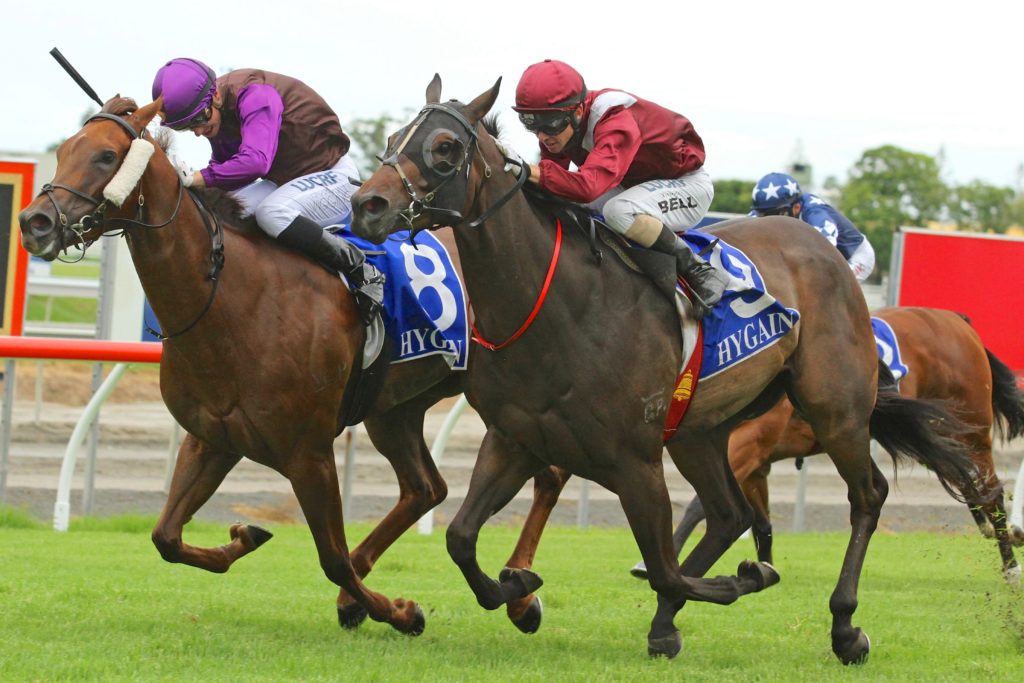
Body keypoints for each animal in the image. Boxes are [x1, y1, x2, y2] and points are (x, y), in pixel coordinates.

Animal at [15, 95, 570, 638]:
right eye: (64, 151)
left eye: (107, 156)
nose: (35, 222)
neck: (231, 299)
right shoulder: (212, 438)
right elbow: (165, 537)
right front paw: (244, 536)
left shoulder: (309, 453)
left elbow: (332, 559)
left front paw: (402, 611)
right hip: (394, 409)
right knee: (425, 488)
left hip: (512, 400)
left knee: (550, 470)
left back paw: (520, 595)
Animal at [348, 75, 982, 662]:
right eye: (392, 139)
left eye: (445, 147)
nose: (366, 206)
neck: (557, 305)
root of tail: (823, 248)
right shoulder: (515, 438)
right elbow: (460, 539)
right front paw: (518, 589)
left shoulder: (635, 460)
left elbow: (664, 566)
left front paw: (746, 576)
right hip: (700, 430)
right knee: (728, 512)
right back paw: (666, 622)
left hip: (835, 409)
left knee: (866, 495)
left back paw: (844, 626)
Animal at [649, 306, 1024, 580]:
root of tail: (959, 322)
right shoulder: (755, 460)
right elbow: (761, 520)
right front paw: (762, 568)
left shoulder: (748, 444)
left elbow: (699, 505)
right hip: (931, 433)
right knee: (969, 483)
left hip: (971, 428)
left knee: (990, 490)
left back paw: (1010, 565)